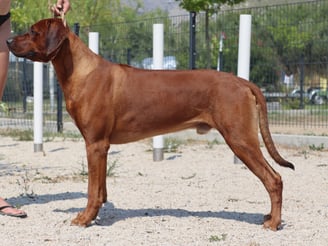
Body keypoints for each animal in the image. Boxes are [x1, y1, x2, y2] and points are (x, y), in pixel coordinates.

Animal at [7, 18, 294, 231]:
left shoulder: (95, 144)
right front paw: (96, 212)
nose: (7, 40)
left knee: (274, 179)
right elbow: (100, 189)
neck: (81, 71)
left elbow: (91, 190)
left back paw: (275, 222)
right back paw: (269, 217)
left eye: (32, 31)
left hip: (240, 139)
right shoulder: (101, 147)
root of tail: (242, 81)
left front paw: (85, 218)